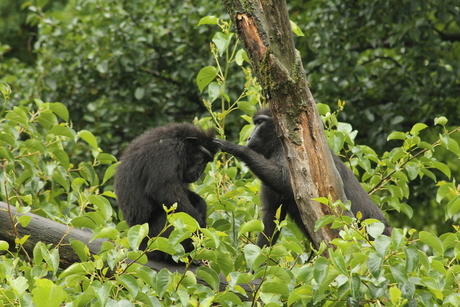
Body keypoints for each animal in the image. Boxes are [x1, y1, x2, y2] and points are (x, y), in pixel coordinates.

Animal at [114, 124, 217, 262]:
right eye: (201, 158)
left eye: (206, 161)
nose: (198, 173)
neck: (178, 143)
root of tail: (139, 247)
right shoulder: (165, 153)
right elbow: (164, 192)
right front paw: (199, 225)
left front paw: (201, 204)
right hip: (151, 239)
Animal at [216, 108, 392, 248]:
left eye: (260, 122)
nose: (248, 138)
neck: (276, 143)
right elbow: (271, 216)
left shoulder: (288, 154)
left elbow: (286, 181)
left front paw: (236, 148)